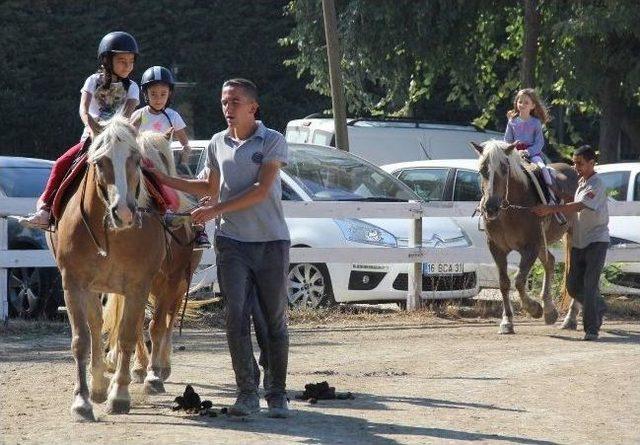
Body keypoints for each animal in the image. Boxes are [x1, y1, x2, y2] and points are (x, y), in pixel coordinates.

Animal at [48, 116, 168, 418]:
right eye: (100, 161)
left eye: (136, 158)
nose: (123, 212)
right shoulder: (73, 284)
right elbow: (81, 340)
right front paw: (82, 400)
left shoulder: (138, 285)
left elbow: (126, 337)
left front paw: (120, 395)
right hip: (91, 288)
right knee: (95, 326)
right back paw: (99, 384)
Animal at [102, 131, 202, 392]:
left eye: (161, 158)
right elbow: (136, 324)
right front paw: (138, 368)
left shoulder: (172, 280)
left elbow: (157, 326)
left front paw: (154, 373)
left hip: (179, 285)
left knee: (169, 320)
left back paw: (163, 365)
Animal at [470, 140, 580, 332]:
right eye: (482, 169)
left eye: (504, 168)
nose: (490, 207)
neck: (510, 210)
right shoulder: (497, 249)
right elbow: (504, 283)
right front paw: (507, 321)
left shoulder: (530, 248)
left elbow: (519, 280)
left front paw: (534, 309)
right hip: (544, 242)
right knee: (550, 262)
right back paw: (550, 311)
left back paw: (570, 318)